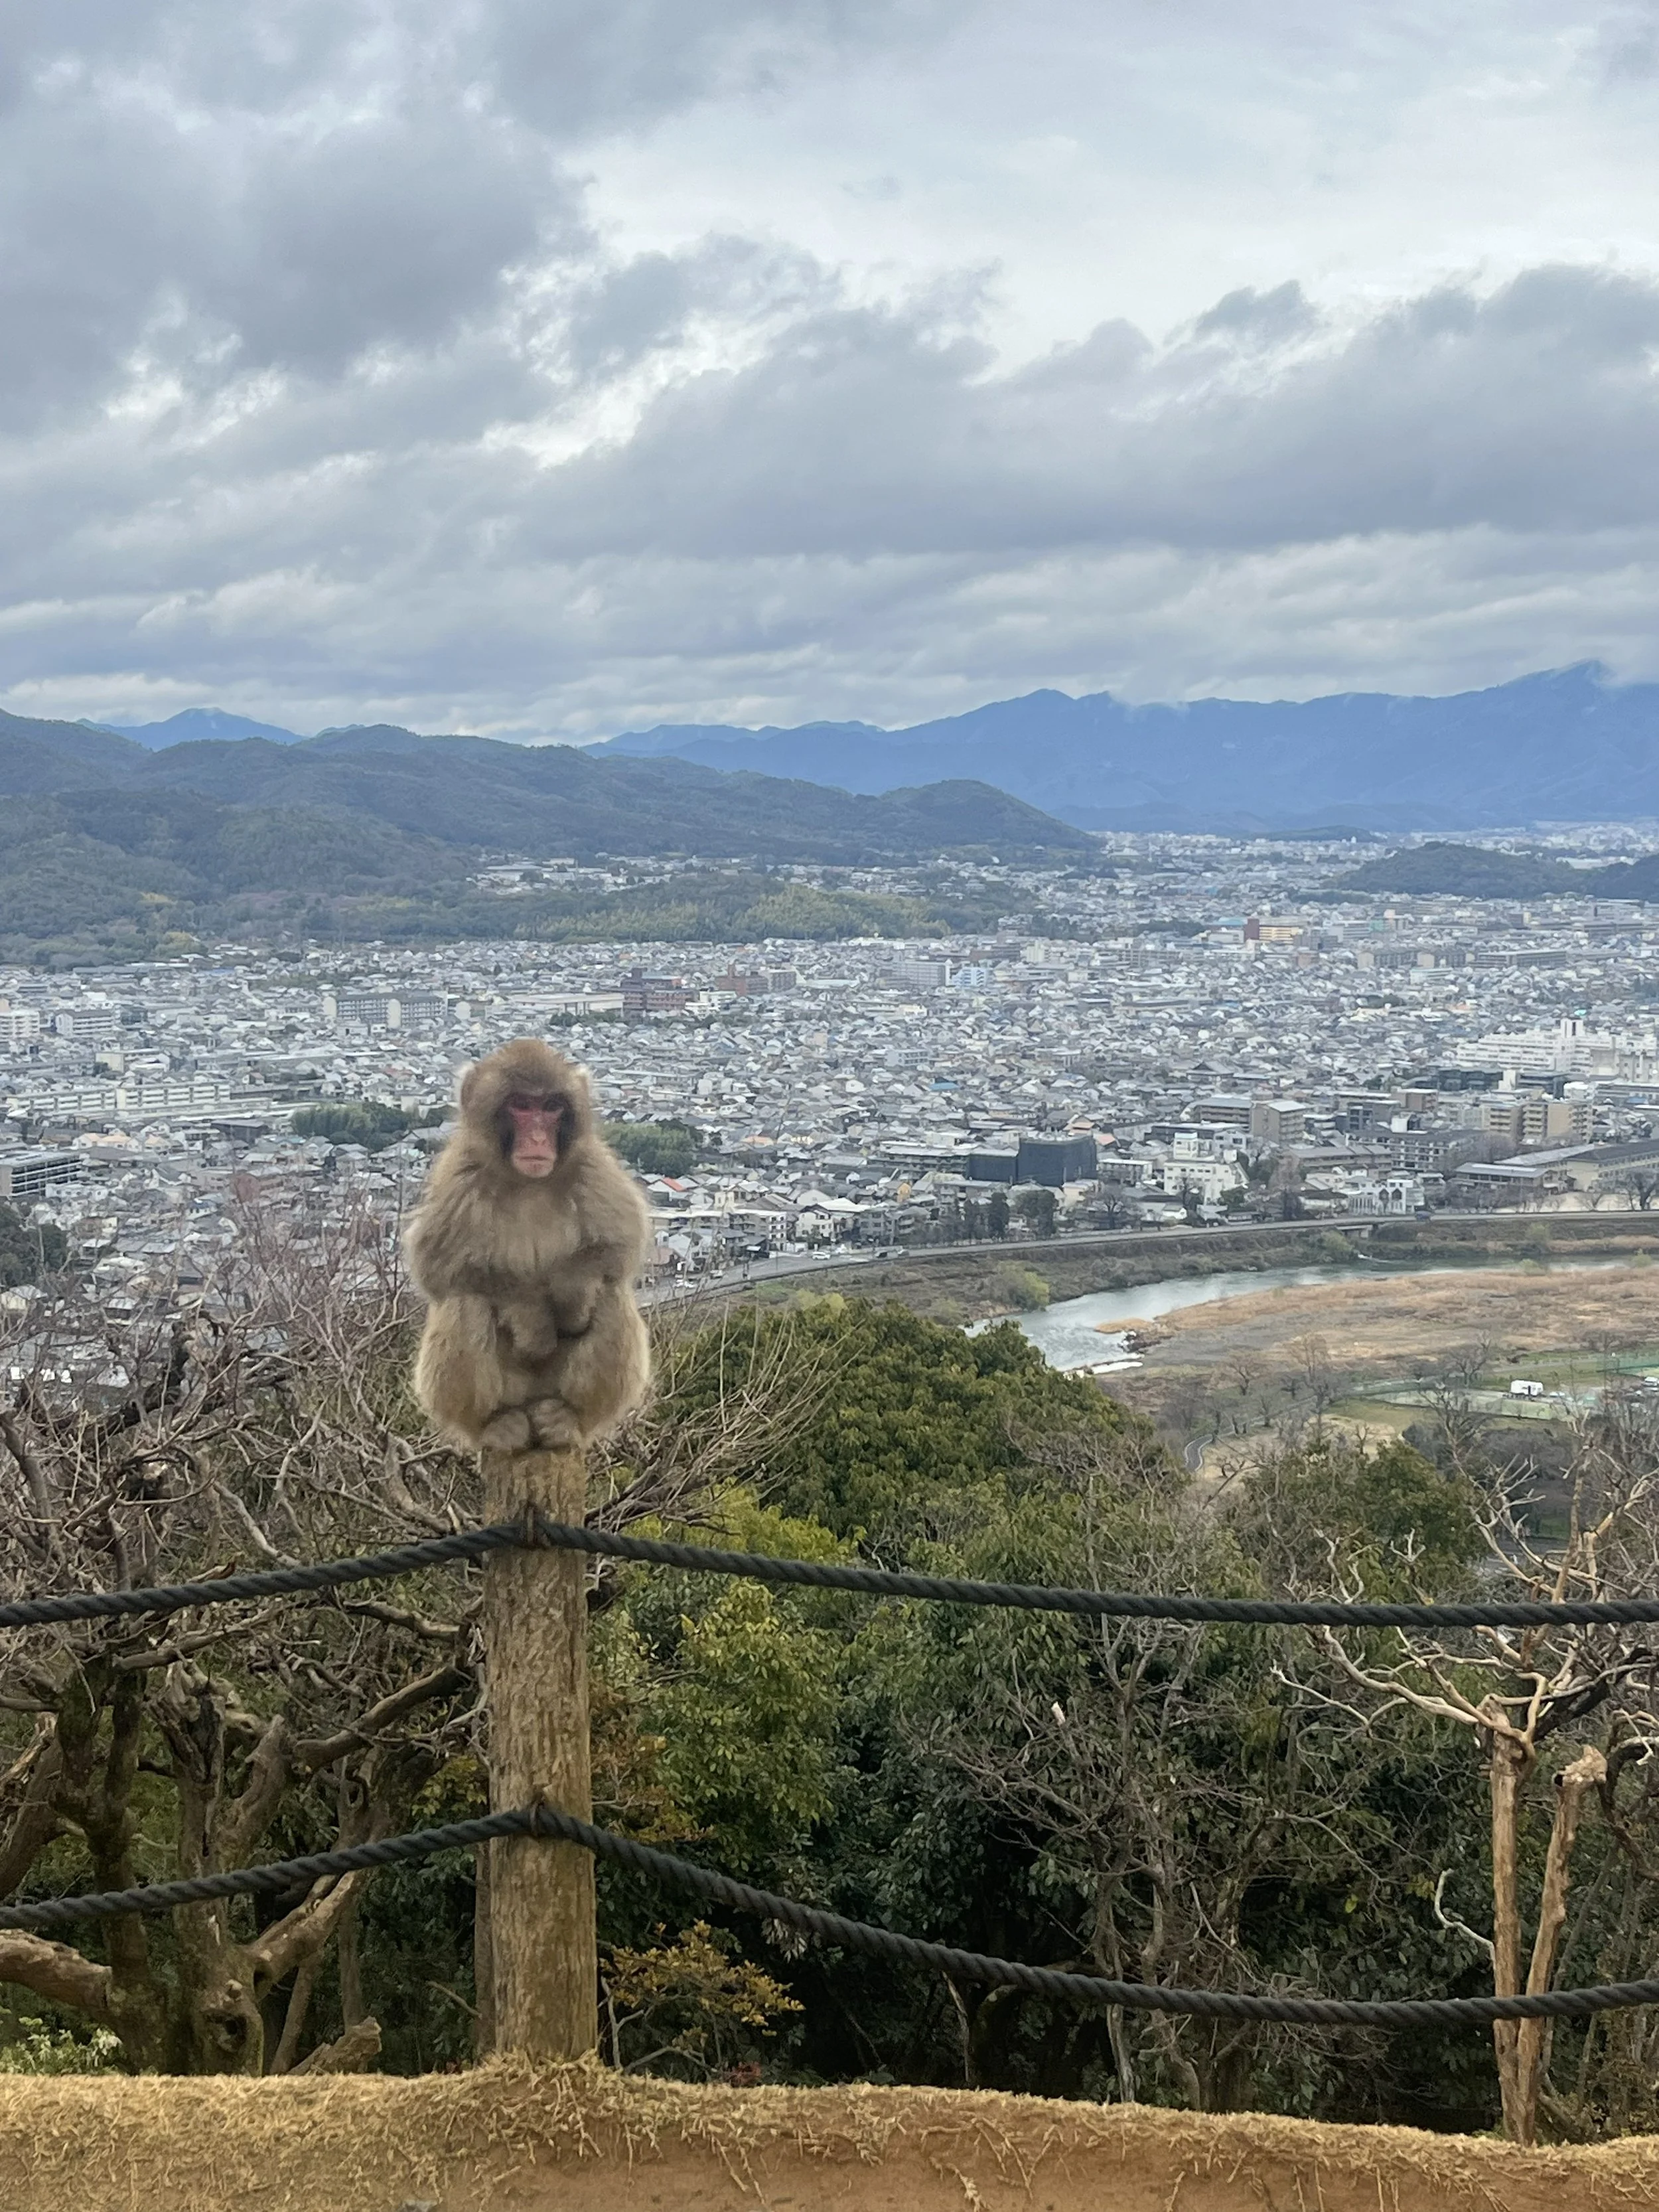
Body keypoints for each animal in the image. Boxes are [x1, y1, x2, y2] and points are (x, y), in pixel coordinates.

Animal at [404, 1039, 652, 1454]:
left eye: (551, 1107)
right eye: (521, 1105)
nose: (537, 1138)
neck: (528, 1182)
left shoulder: (593, 1167)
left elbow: (620, 1245)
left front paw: (573, 1293)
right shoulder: (461, 1178)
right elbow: (439, 1267)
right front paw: (530, 1320)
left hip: (555, 1387)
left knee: (610, 1293)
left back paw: (567, 1419)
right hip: (511, 1389)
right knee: (465, 1302)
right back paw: (495, 1425)